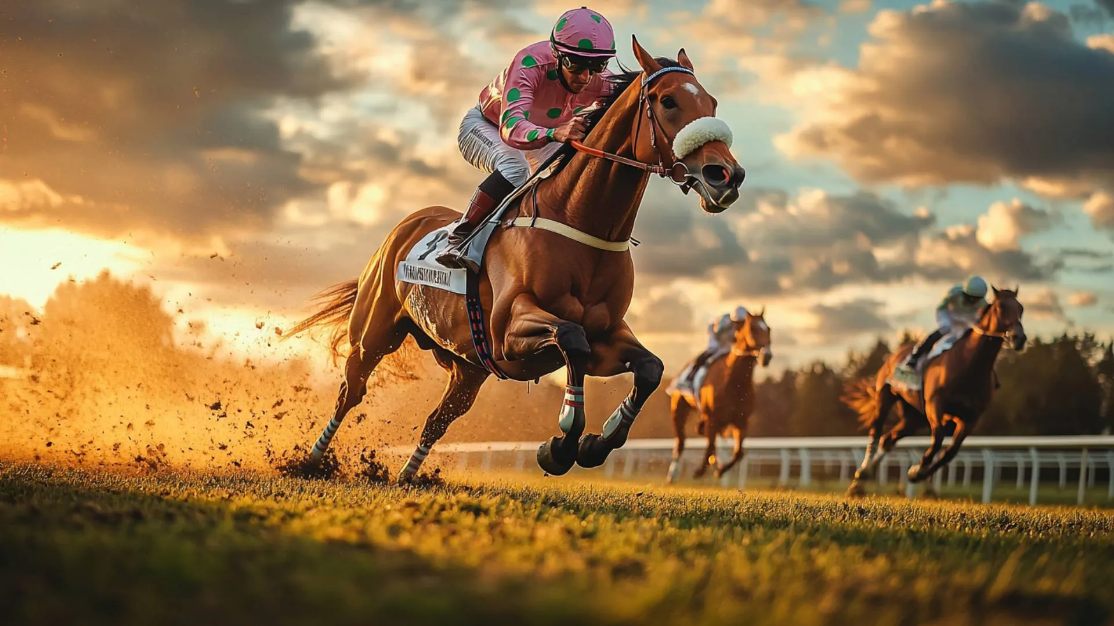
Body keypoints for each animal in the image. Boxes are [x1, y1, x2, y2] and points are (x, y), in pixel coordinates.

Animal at [285, 36, 745, 481]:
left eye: (712, 103)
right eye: (668, 101)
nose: (727, 176)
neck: (581, 223)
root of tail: (409, 223)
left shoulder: (607, 334)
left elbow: (649, 367)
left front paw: (597, 443)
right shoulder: (510, 329)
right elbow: (571, 341)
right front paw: (560, 446)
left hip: (468, 365)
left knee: (438, 418)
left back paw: (409, 477)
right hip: (375, 332)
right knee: (351, 391)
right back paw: (311, 462)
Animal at [666, 310, 772, 483]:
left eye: (768, 329)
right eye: (752, 329)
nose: (767, 356)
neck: (734, 384)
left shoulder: (740, 421)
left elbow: (739, 453)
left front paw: (720, 470)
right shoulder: (713, 418)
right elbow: (710, 447)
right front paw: (699, 471)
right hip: (679, 408)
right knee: (681, 442)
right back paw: (673, 474)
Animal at [845, 287, 1026, 495]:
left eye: (1021, 308)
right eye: (1001, 307)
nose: (1019, 338)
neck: (969, 367)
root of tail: (895, 354)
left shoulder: (970, 418)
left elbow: (950, 451)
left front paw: (918, 473)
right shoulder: (935, 404)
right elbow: (938, 439)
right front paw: (918, 469)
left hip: (914, 417)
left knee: (888, 439)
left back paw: (865, 477)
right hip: (886, 396)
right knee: (876, 431)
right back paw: (861, 474)